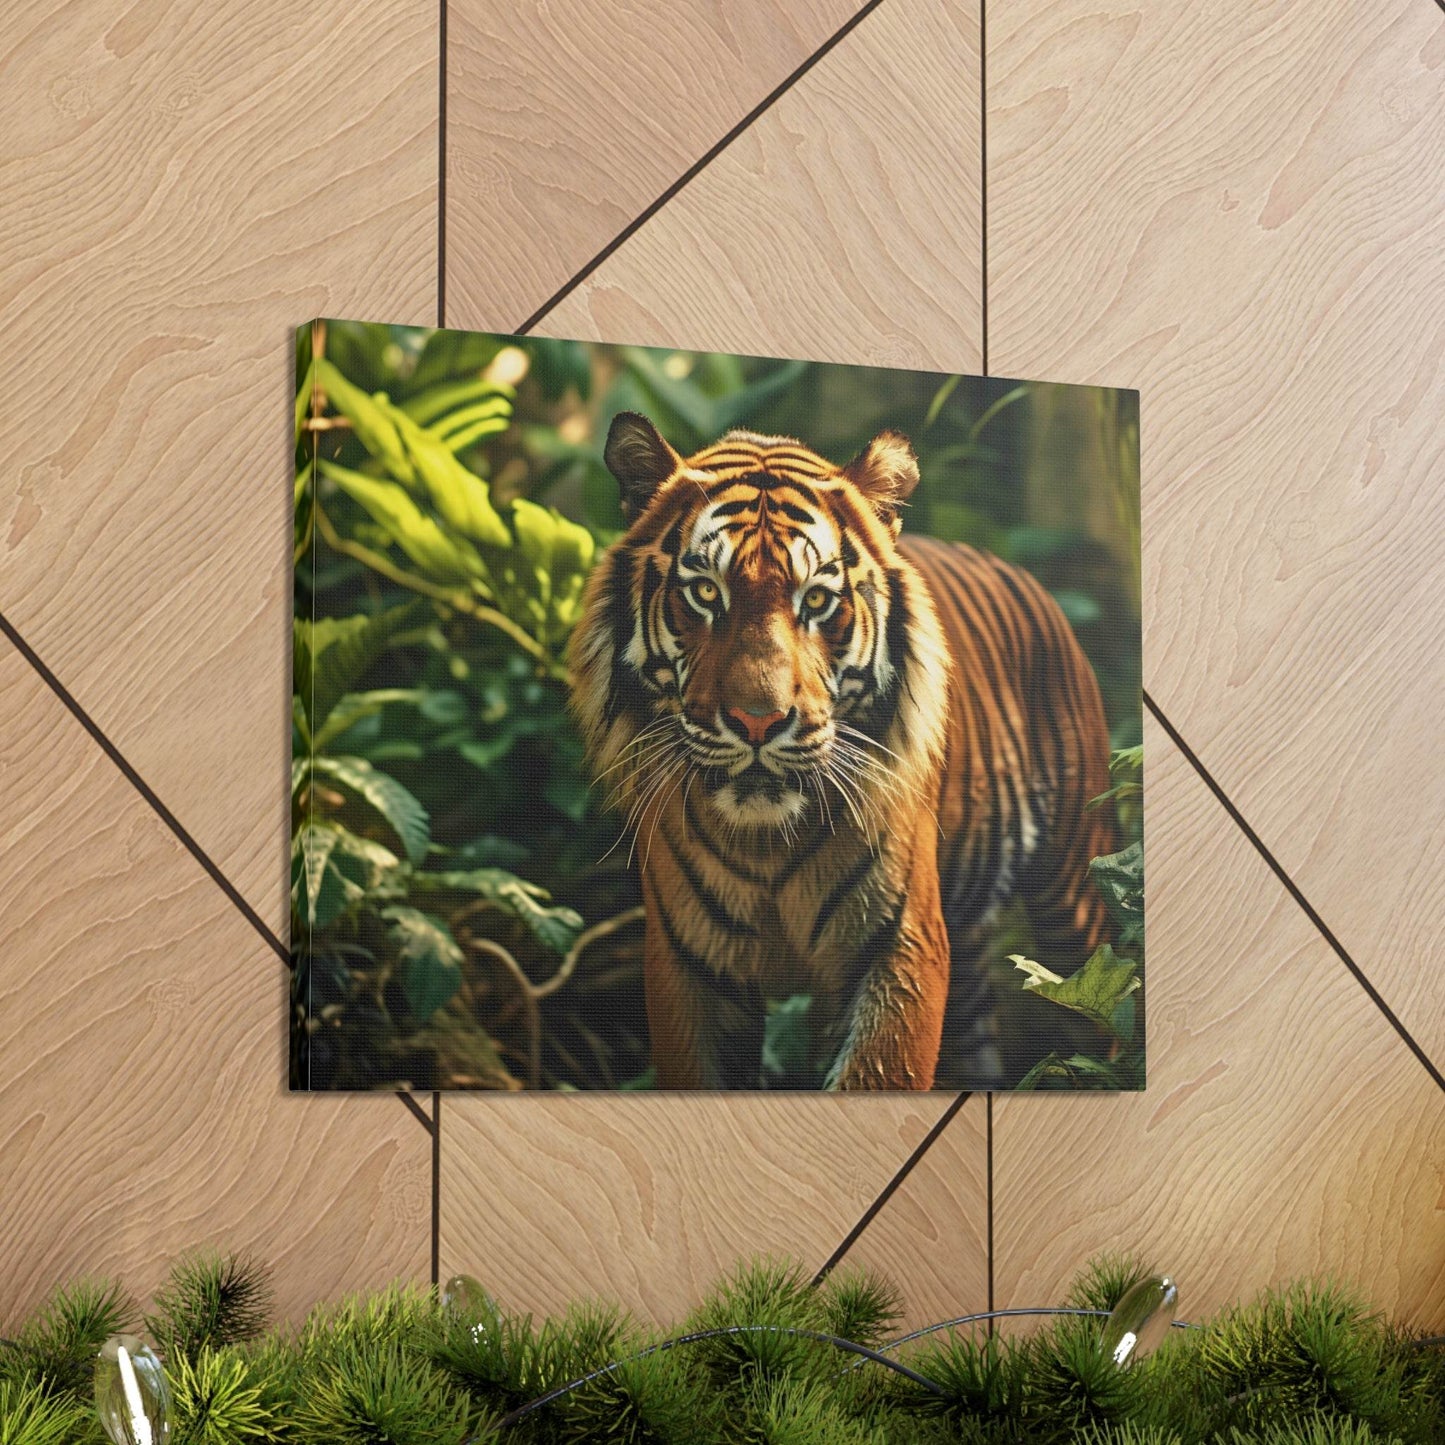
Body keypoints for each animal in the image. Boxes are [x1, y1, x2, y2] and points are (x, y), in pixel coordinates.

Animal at [569, 411, 1118, 1090]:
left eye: (816, 600)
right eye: (705, 593)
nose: (758, 721)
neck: (768, 845)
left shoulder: (899, 946)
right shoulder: (688, 965)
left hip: (1076, 892)